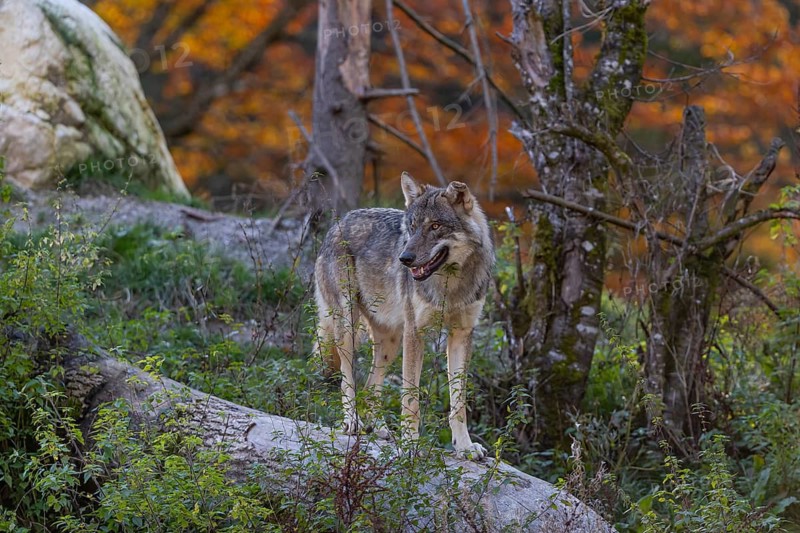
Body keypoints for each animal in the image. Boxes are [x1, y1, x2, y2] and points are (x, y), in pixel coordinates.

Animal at [314, 172, 494, 460]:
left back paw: (379, 428)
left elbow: (458, 402)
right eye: (411, 226)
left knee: (371, 386)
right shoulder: (415, 333)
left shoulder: (461, 335)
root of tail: (337, 223)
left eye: (435, 226)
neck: (450, 285)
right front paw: (410, 444)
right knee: (347, 378)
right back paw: (353, 421)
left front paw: (465, 447)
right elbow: (411, 398)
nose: (404, 258)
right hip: (348, 328)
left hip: (390, 343)